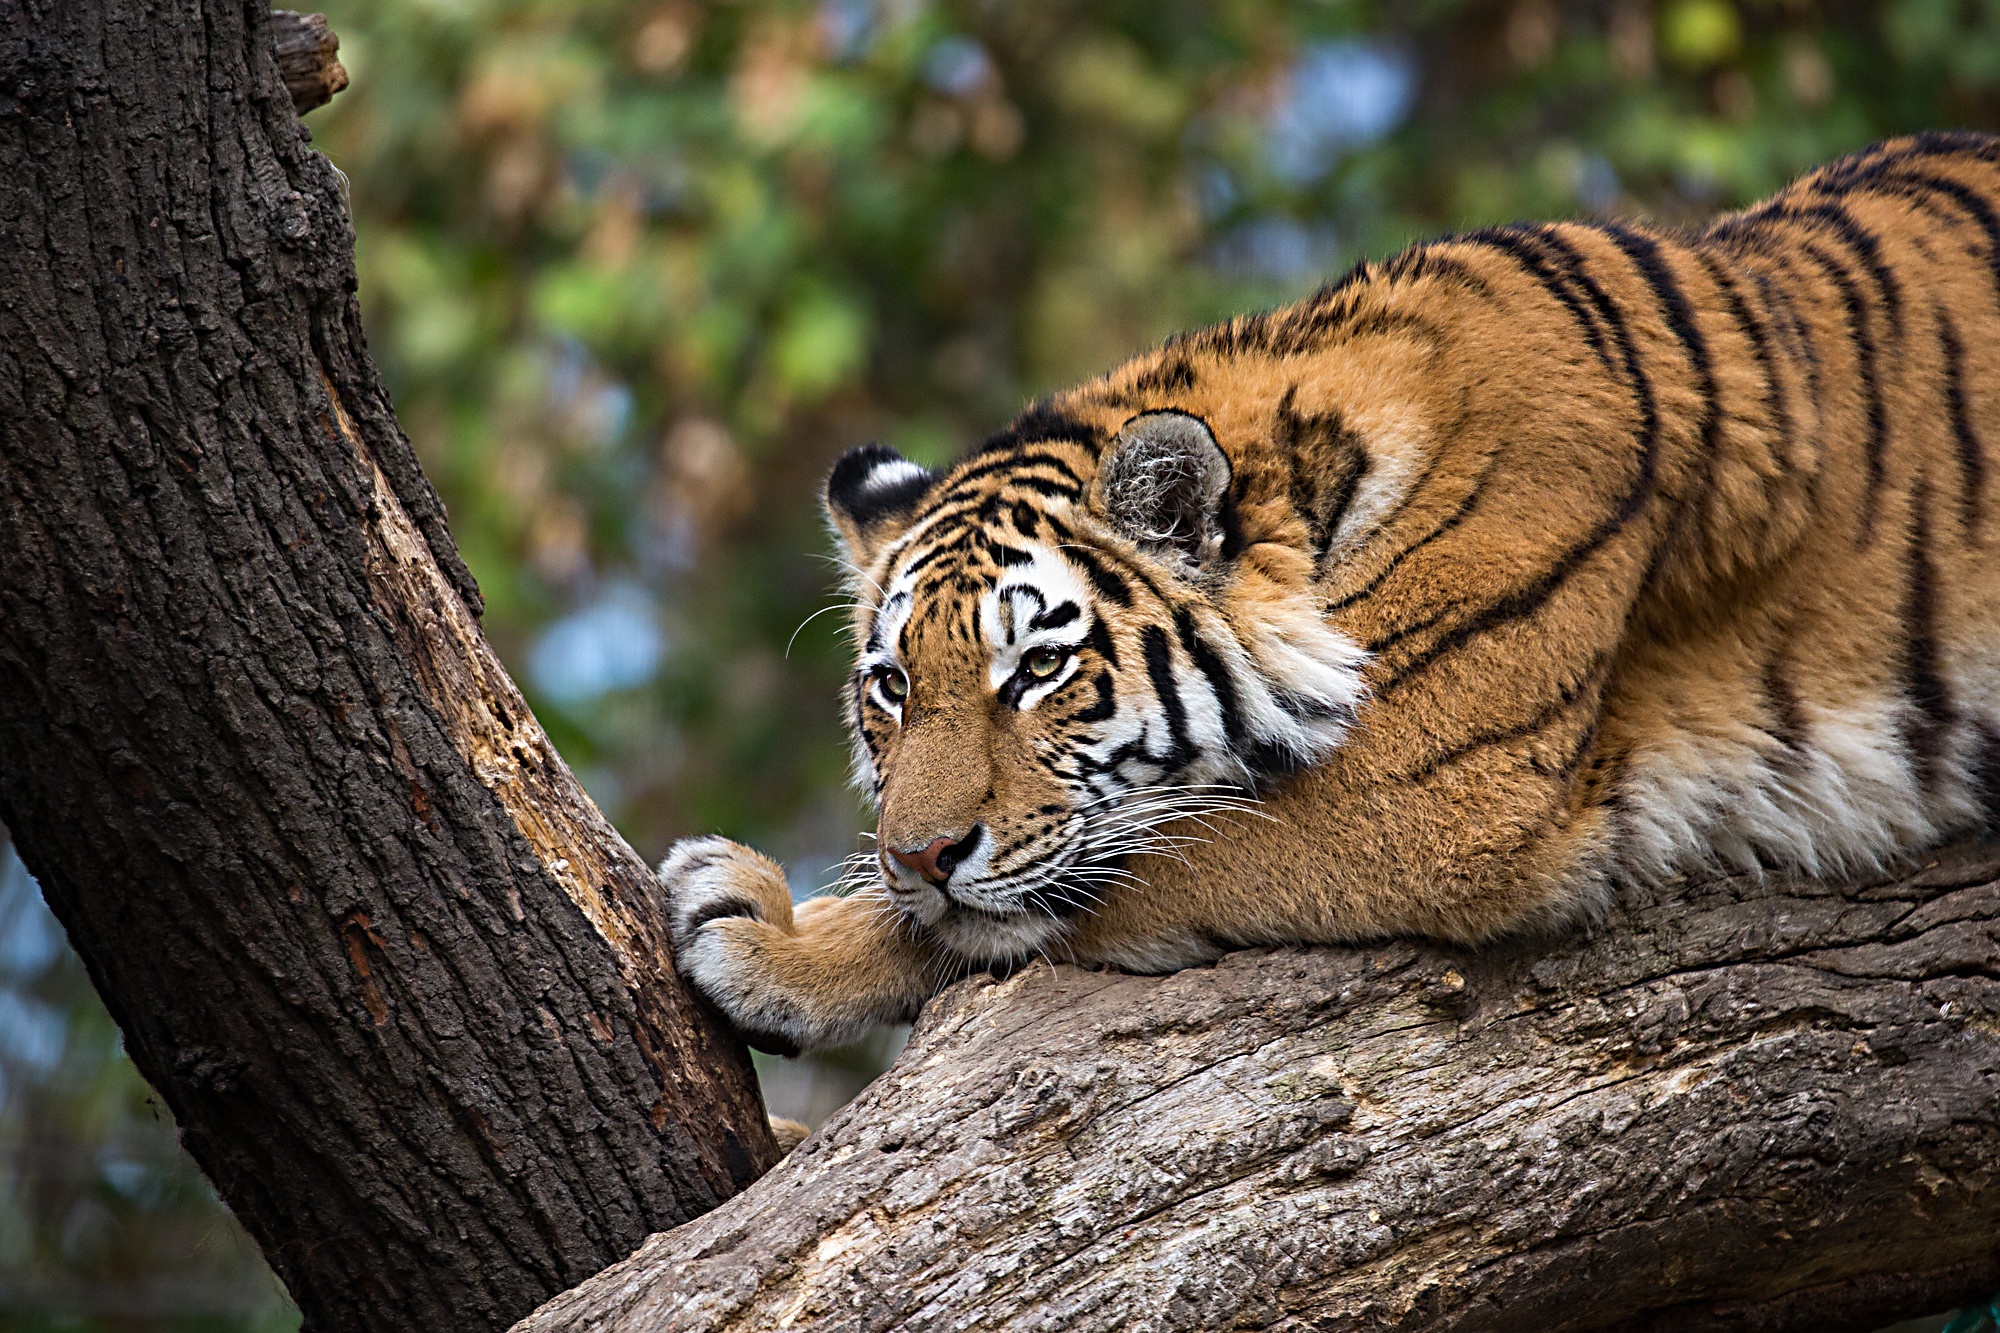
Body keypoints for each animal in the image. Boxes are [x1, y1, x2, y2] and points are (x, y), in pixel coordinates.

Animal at [660, 130, 2000, 1056]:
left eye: (1037, 668)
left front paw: (764, 932)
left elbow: (1121, 863)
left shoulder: (1434, 792)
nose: (920, 852)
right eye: (891, 687)